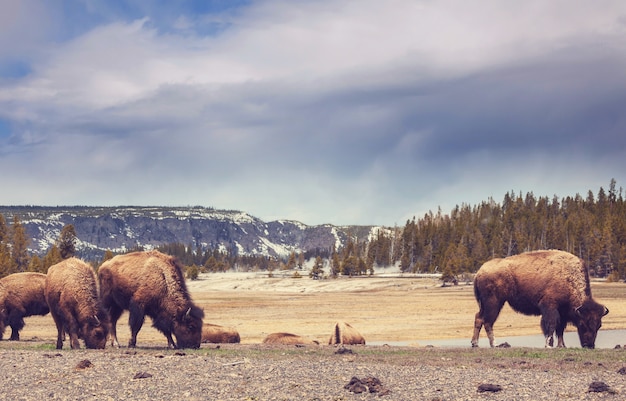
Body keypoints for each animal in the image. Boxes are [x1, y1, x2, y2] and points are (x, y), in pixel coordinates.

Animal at [470, 250, 608, 346]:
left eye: (599, 325)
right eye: (582, 323)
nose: (589, 345)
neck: (568, 278)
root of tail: (479, 272)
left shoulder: (562, 312)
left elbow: (560, 329)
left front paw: (561, 346)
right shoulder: (550, 306)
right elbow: (551, 325)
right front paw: (549, 345)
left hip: (485, 304)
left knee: (478, 318)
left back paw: (475, 343)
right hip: (494, 303)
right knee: (488, 322)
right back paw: (494, 344)